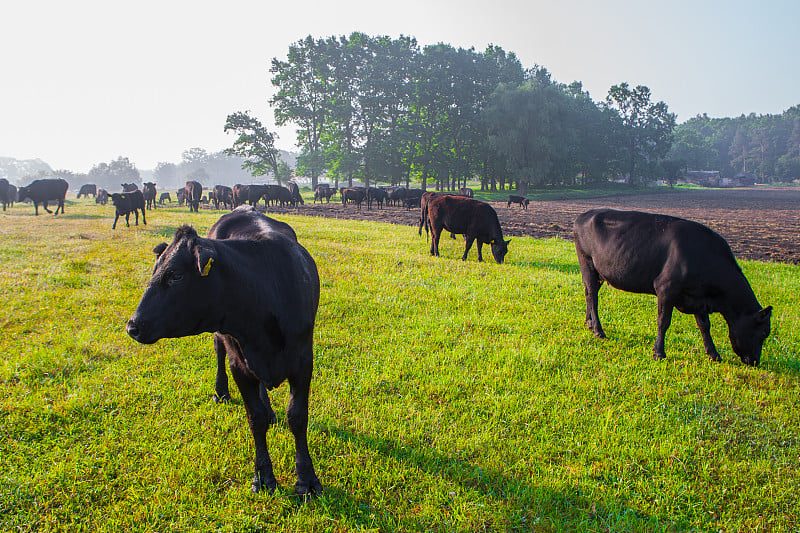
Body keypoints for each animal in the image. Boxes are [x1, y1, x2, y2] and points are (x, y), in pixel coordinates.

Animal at [126, 206, 320, 496]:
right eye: (155, 271)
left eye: (176, 275)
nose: (133, 326)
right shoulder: (239, 364)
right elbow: (255, 418)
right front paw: (263, 476)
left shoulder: (303, 362)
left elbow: (297, 417)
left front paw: (307, 480)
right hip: (223, 338)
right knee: (219, 351)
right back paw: (221, 392)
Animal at [572, 208, 772, 366]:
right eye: (764, 333)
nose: (755, 361)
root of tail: (584, 215)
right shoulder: (666, 288)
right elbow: (663, 322)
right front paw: (659, 353)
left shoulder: (698, 297)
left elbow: (704, 326)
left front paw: (713, 354)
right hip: (587, 262)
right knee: (593, 296)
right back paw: (598, 331)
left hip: (597, 272)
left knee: (589, 294)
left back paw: (589, 323)